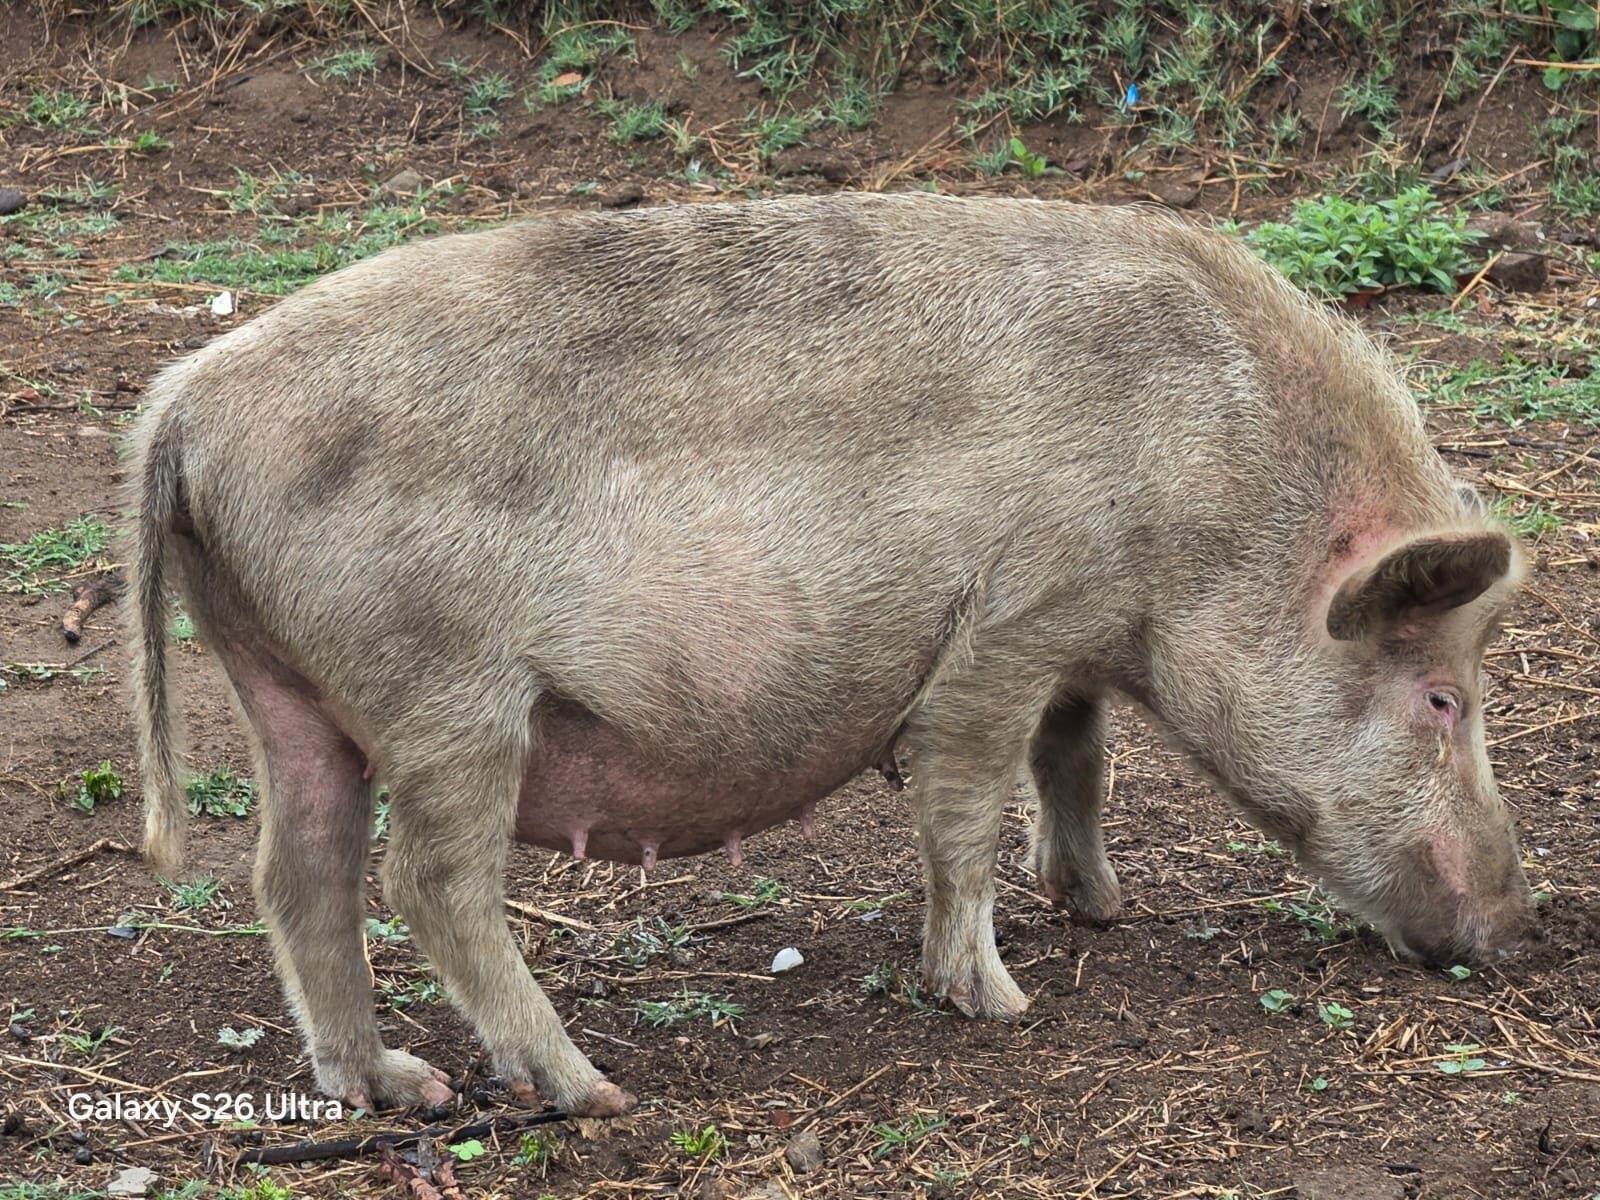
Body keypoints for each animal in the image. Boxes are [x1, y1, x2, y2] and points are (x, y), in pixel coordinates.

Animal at [126, 192, 1531, 1118]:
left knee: (296, 869)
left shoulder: (1078, 628)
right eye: (1441, 696)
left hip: (282, 679)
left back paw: (392, 1087)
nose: (1520, 926)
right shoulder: (1014, 615)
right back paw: (592, 1092)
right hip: (441, 689)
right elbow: (968, 798)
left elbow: (1075, 753)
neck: (1214, 491)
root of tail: (182, 406)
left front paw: (1100, 906)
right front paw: (1000, 1001)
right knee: (428, 879)